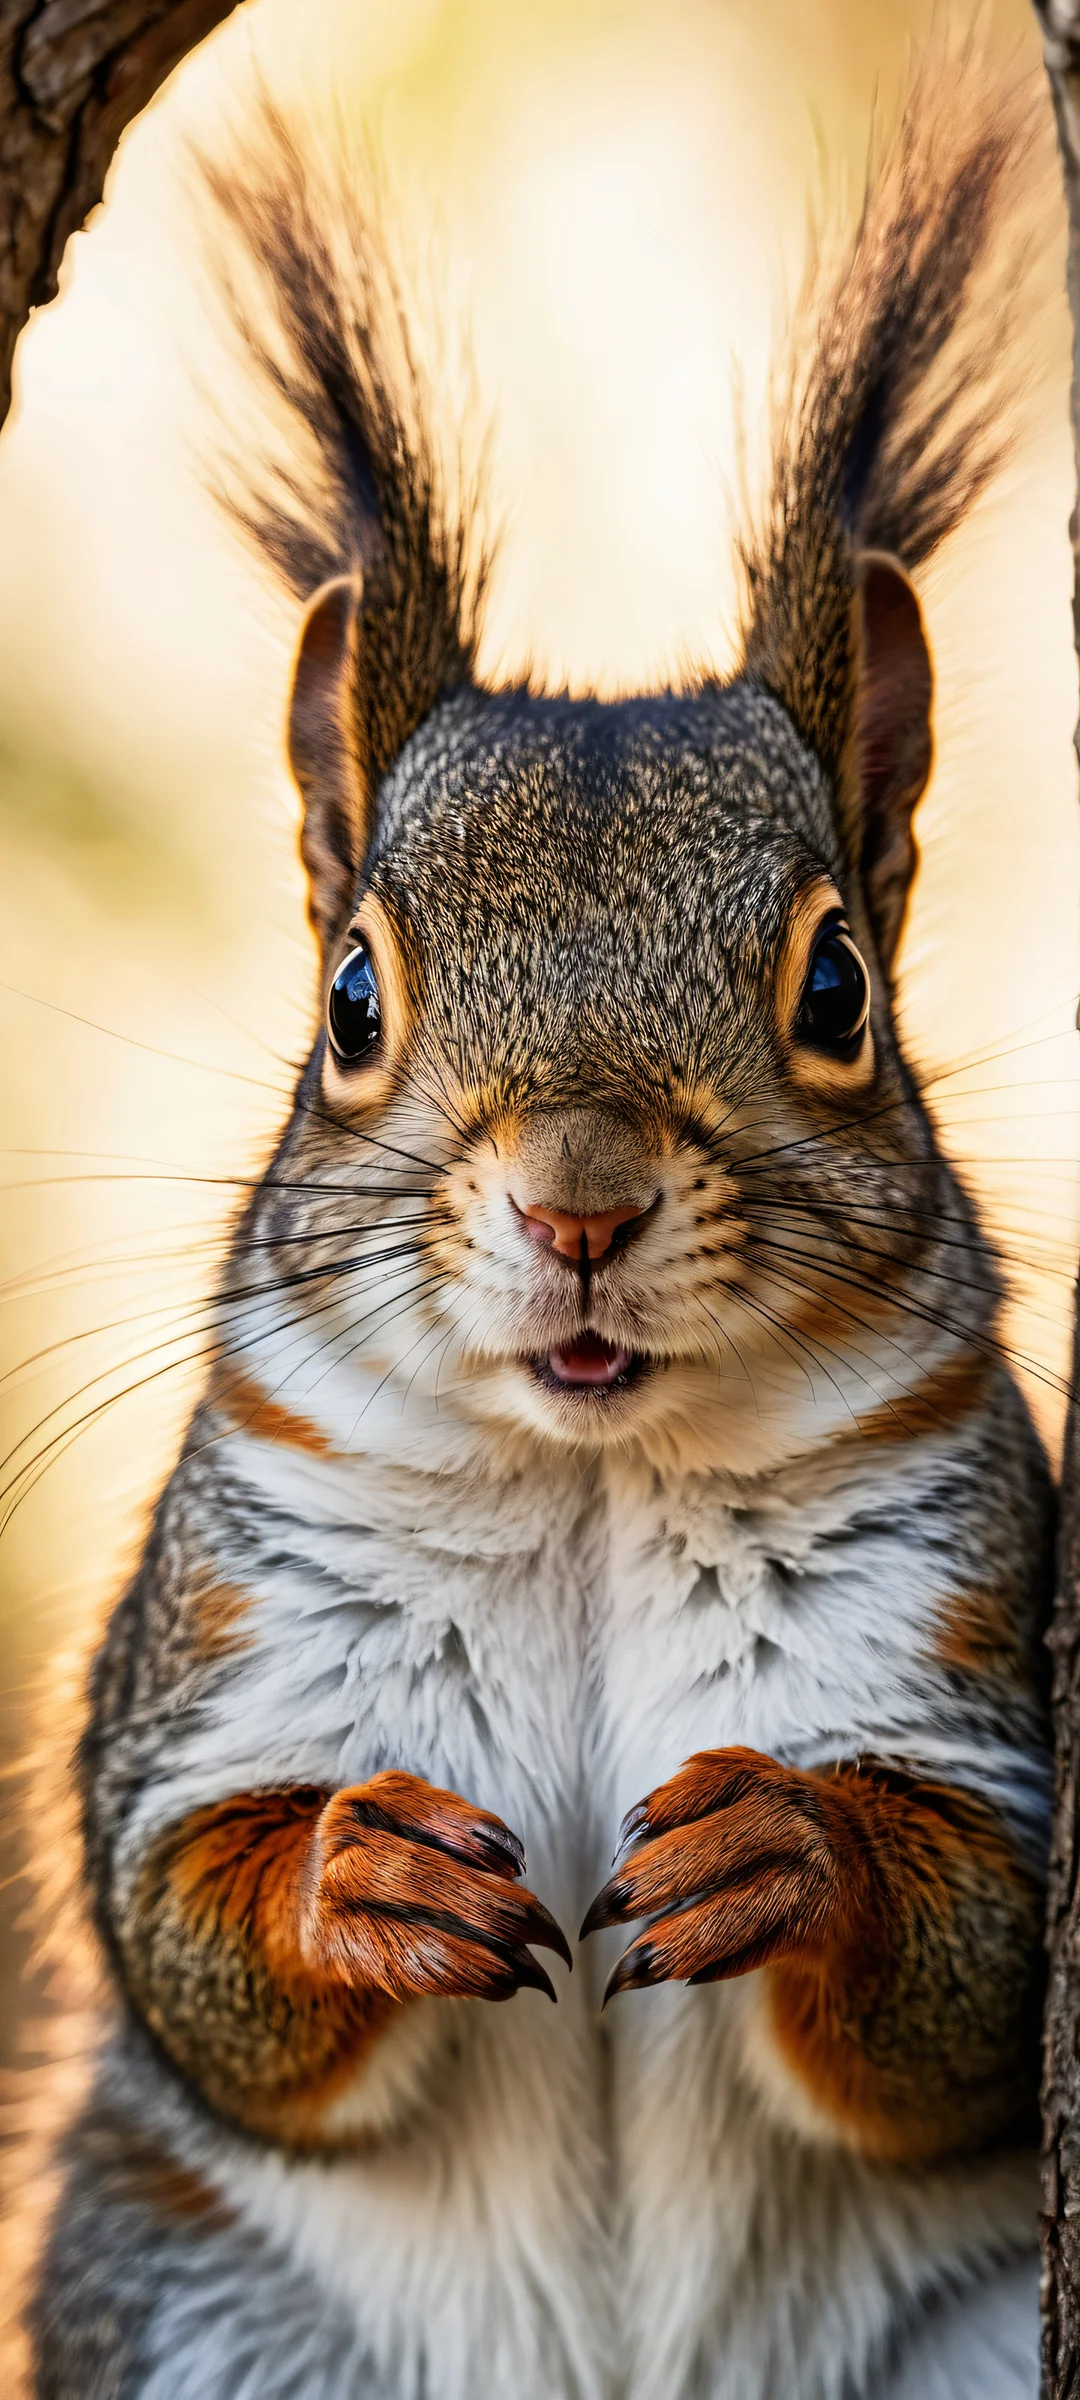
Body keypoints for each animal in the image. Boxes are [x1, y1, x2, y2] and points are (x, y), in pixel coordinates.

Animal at [24, 60, 1057, 2400]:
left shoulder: (975, 1658)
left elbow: (969, 1974)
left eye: (839, 987)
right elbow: (179, 1929)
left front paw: (792, 1849)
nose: (579, 1201)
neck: (590, 1484)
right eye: (350, 1001)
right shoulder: (216, 1656)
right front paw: (357, 1879)